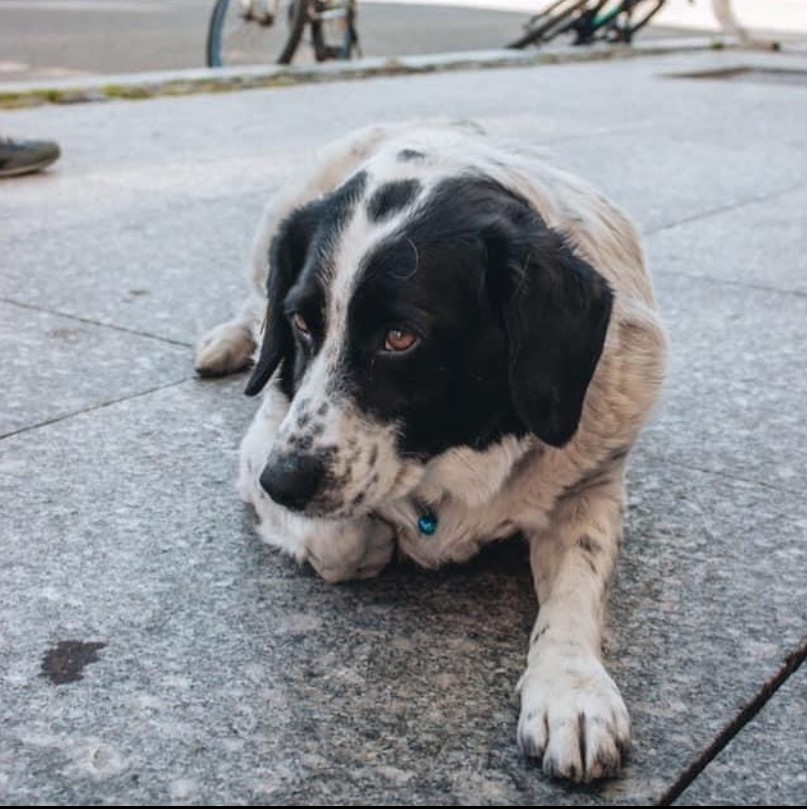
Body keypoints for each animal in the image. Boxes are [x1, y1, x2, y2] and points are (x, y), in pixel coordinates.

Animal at [196, 120, 668, 784]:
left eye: (400, 338)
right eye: (304, 324)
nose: (280, 483)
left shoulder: (592, 486)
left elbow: (575, 588)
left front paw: (570, 691)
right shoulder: (264, 439)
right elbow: (346, 540)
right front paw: (374, 541)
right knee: (251, 300)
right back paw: (229, 341)